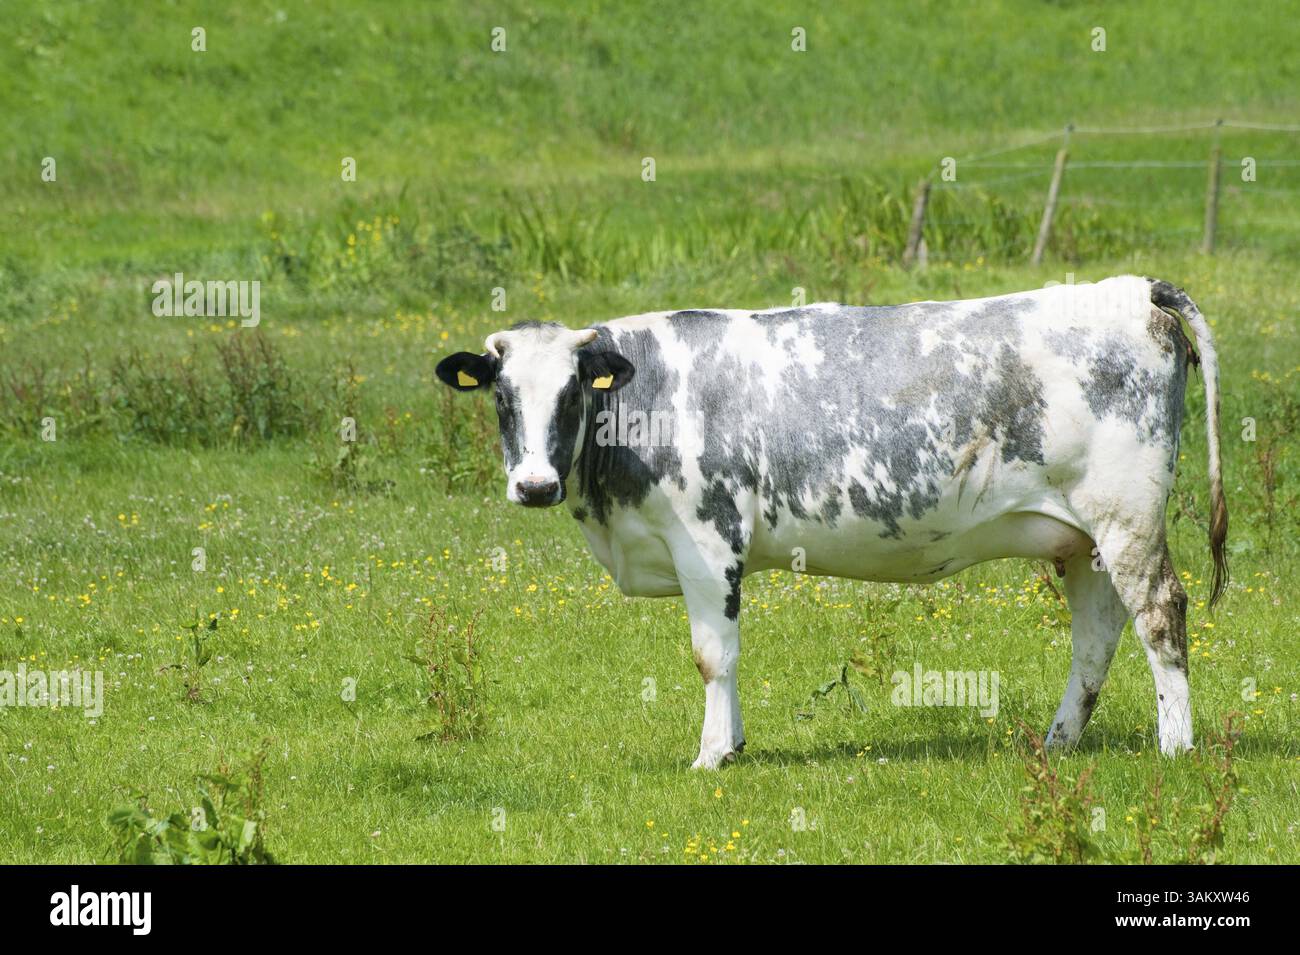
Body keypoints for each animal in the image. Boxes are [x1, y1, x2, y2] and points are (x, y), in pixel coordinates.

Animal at [436, 276, 1227, 769]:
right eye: (502, 397)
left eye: (573, 392)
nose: (534, 484)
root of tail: (1132, 288)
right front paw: (736, 742)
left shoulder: (706, 541)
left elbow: (713, 654)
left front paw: (712, 754)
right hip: (1080, 538)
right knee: (1096, 635)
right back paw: (1059, 742)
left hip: (1126, 515)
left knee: (1160, 612)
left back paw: (1176, 746)